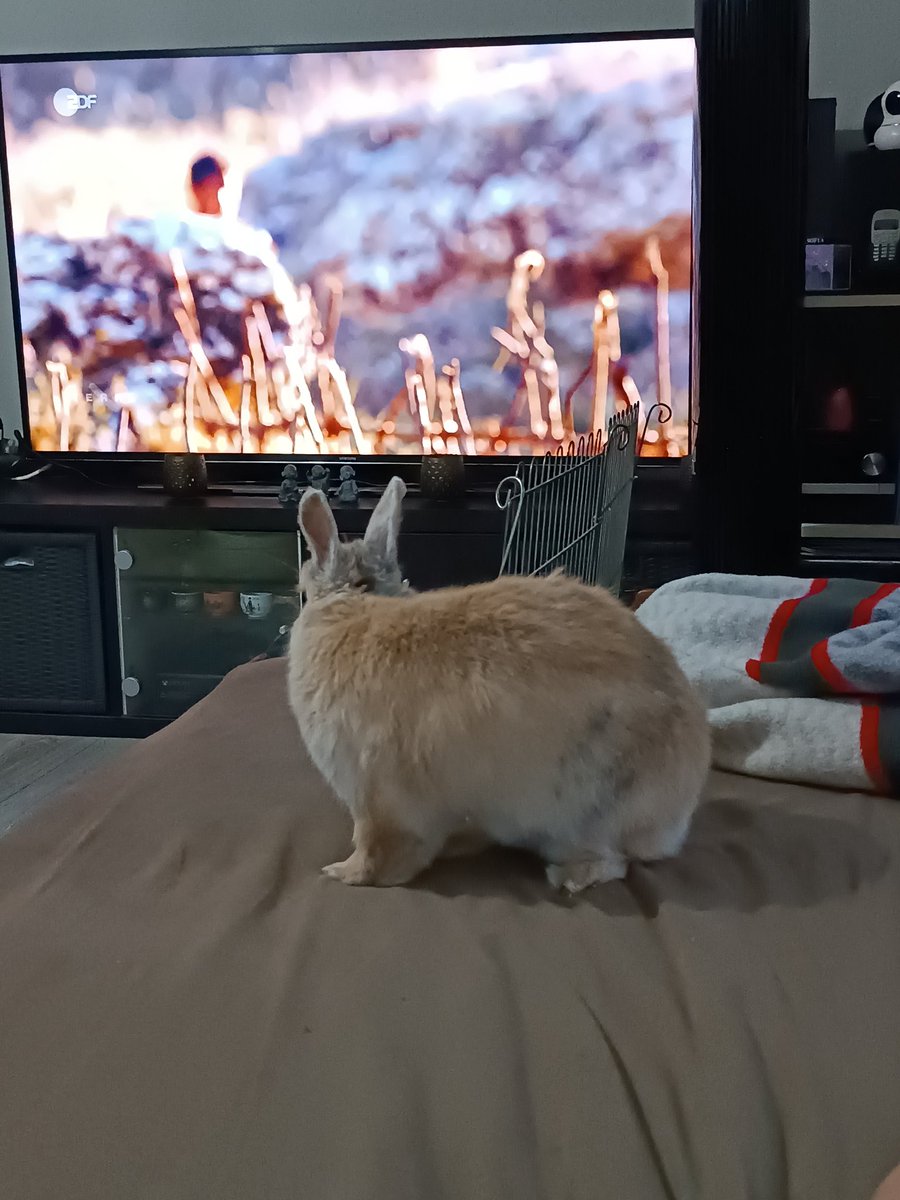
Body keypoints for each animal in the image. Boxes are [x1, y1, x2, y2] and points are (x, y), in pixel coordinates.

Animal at [289, 475, 710, 892]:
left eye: (303, 593)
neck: (354, 602)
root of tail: (681, 807)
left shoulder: (374, 796)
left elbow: (378, 853)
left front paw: (340, 872)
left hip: (584, 812)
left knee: (613, 862)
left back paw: (566, 877)